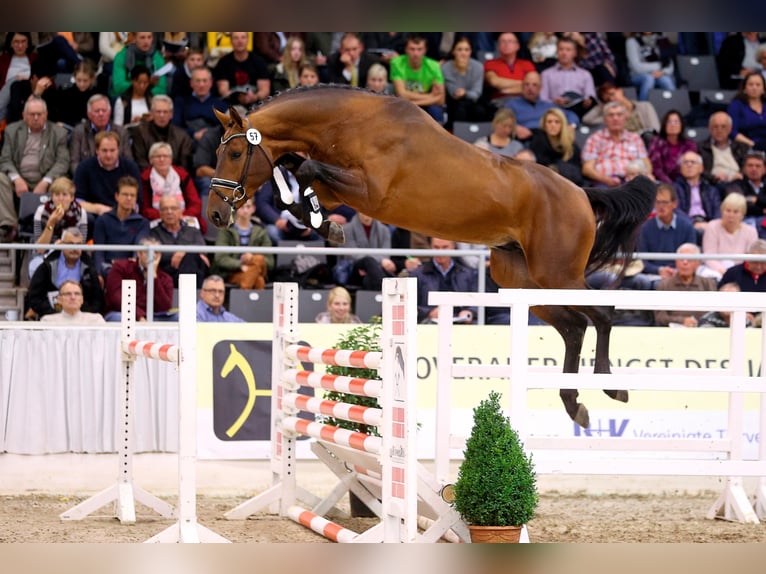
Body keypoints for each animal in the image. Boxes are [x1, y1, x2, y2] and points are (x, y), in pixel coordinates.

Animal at [212, 85, 660, 428]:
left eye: (234, 155)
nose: (216, 214)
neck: (349, 124)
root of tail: (582, 193)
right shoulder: (339, 190)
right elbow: (295, 187)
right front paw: (325, 225)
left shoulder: (367, 190)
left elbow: (304, 172)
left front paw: (323, 221)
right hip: (522, 280)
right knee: (572, 326)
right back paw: (573, 403)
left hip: (557, 273)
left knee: (601, 313)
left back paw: (610, 385)